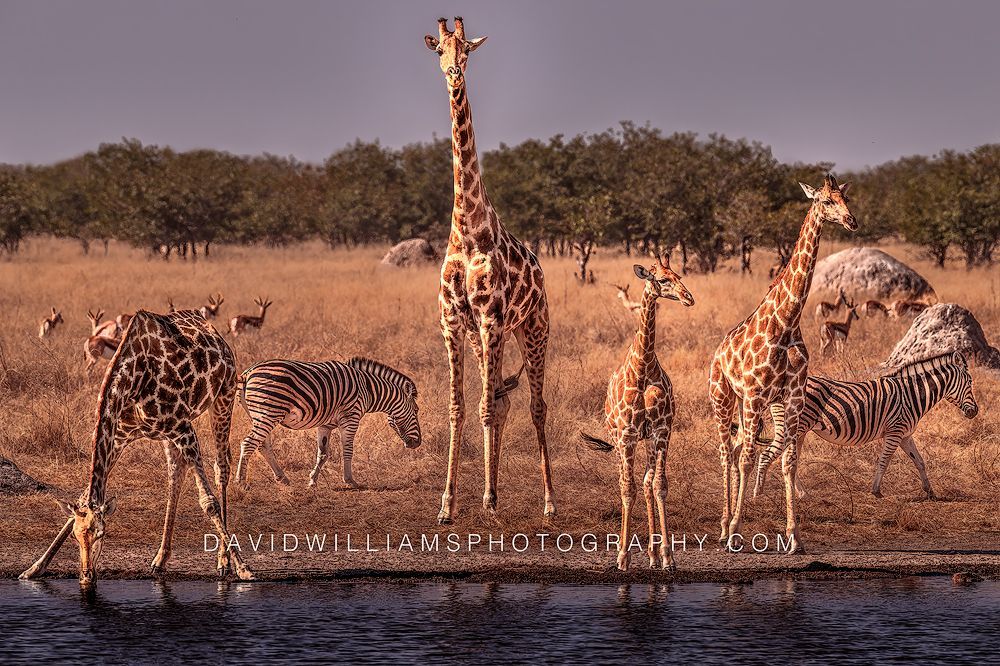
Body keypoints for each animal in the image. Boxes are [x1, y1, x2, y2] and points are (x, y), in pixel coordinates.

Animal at [20, 309, 253, 585]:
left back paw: (223, 561)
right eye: (77, 537)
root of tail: (216, 334)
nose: (86, 576)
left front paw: (243, 568)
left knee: (221, 467)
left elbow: (208, 502)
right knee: (176, 473)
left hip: (223, 397)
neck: (132, 381)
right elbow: (82, 498)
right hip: (168, 434)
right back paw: (160, 559)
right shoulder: (120, 435)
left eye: (102, 534)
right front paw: (34, 568)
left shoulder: (184, 428)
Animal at [425, 17, 555, 523]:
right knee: (500, 399)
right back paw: (492, 491)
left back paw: (547, 501)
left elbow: (482, 409)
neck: (467, 228)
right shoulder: (454, 322)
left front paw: (487, 501)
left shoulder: (491, 319)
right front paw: (448, 505)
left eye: (468, 50)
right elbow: (460, 409)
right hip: (492, 338)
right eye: (440, 49)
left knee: (535, 405)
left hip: (532, 329)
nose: (453, 73)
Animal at [582, 254, 694, 571]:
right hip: (619, 439)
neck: (643, 367)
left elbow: (658, 485)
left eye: (679, 275)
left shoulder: (661, 430)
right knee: (625, 482)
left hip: (645, 440)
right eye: (663, 279)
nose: (689, 298)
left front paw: (668, 556)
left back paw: (654, 555)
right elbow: (627, 488)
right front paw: (623, 556)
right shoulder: (629, 433)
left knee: (645, 482)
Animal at [709, 174, 856, 553]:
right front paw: (736, 531)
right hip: (724, 398)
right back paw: (723, 527)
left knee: (736, 447)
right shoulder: (756, 394)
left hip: (748, 404)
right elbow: (747, 459)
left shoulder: (792, 397)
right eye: (825, 201)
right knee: (728, 452)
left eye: (846, 198)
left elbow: (789, 464)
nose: (852, 222)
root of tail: (718, 351)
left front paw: (794, 536)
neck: (787, 322)